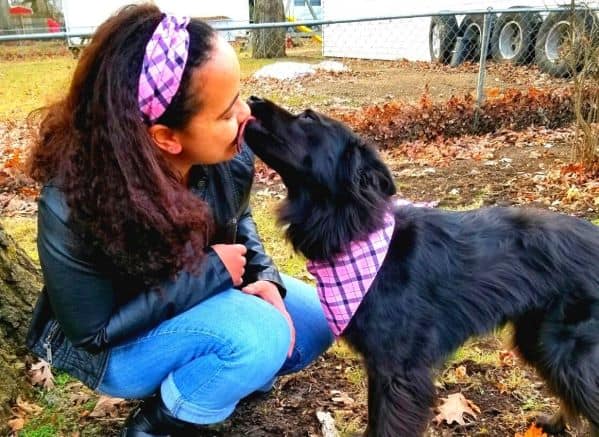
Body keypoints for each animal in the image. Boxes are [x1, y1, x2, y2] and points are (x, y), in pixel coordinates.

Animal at [244, 97, 599, 434]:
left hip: (566, 349)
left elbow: (387, 426)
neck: (356, 231)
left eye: (308, 118)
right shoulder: (380, 366)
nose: (251, 99)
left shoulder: (400, 371)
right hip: (537, 339)